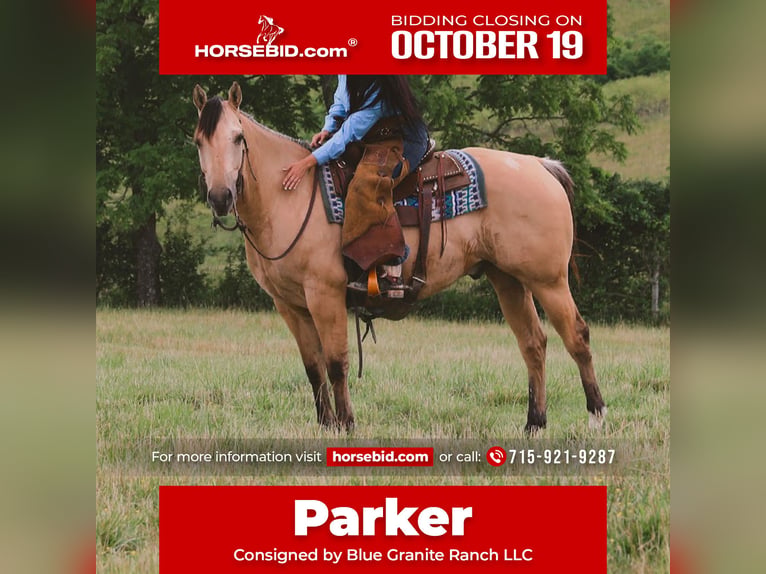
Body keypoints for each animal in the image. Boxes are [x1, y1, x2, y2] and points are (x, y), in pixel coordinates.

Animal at [192, 81, 606, 433]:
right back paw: (534, 423)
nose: (220, 197)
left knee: (577, 337)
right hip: (507, 280)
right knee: (533, 343)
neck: (287, 196)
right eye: (198, 141)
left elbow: (336, 363)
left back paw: (596, 416)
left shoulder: (325, 295)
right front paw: (326, 425)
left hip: (549, 281)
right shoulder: (289, 305)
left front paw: (346, 425)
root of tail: (539, 165)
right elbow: (313, 368)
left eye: (238, 137)